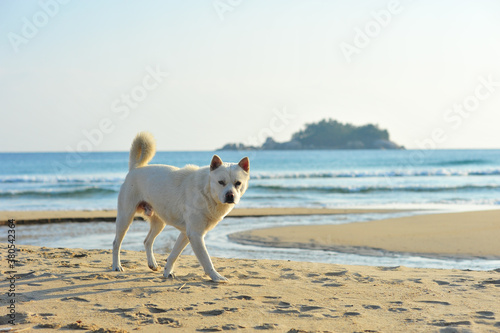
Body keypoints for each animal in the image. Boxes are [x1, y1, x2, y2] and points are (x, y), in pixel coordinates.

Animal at [111, 131, 248, 282]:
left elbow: (173, 255)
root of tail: (135, 168)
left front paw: (167, 272)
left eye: (238, 183)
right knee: (116, 243)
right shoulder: (195, 234)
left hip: (159, 222)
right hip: (125, 217)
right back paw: (116, 266)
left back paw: (152, 264)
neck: (206, 192)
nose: (230, 196)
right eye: (221, 182)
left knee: (147, 241)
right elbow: (206, 260)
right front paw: (216, 277)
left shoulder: (186, 234)